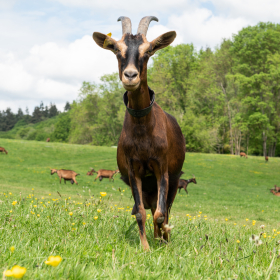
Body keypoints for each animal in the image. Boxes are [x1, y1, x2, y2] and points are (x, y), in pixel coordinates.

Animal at [92, 16, 186, 250]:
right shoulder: (134, 169)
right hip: (146, 186)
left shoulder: (162, 167)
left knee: (165, 210)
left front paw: (162, 239)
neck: (144, 131)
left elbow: (161, 214)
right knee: (148, 207)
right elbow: (140, 213)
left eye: (149, 50)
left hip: (175, 179)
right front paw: (145, 247)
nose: (130, 76)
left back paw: (163, 238)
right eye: (116, 49)